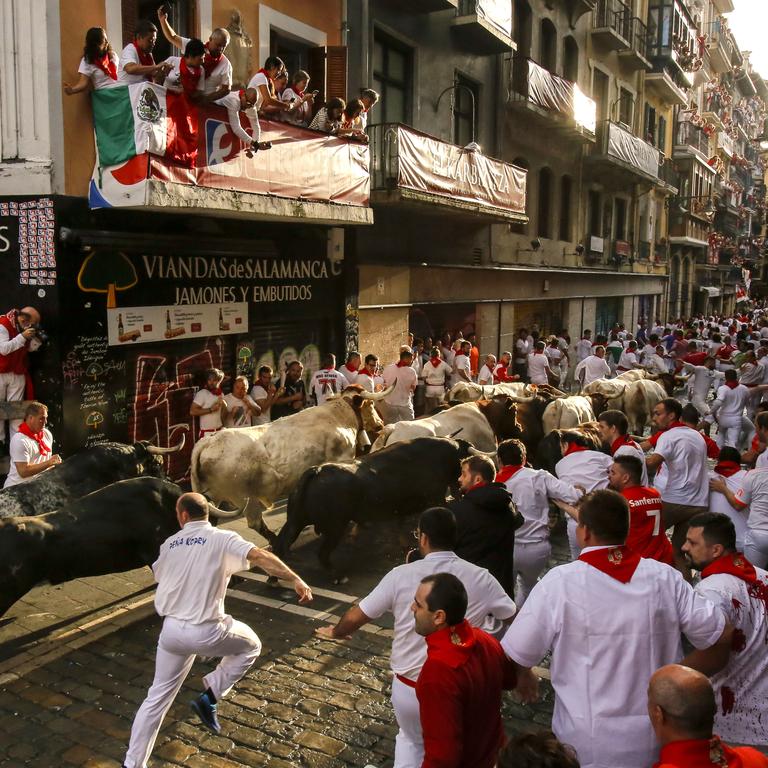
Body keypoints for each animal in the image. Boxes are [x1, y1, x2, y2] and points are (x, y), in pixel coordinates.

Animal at [272, 438, 496, 576]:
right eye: (461, 464)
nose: (459, 487)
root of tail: (317, 470)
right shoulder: (436, 499)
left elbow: (400, 526)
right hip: (335, 527)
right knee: (322, 553)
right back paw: (336, 574)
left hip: (296, 521)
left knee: (281, 545)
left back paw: (276, 578)